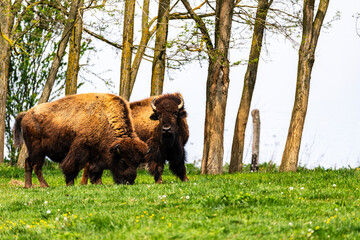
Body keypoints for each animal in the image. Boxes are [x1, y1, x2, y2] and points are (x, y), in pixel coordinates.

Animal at [12, 92, 148, 188]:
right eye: (123, 162)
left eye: (137, 163)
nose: (129, 181)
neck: (104, 118)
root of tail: (26, 114)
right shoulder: (80, 149)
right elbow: (74, 166)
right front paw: (71, 183)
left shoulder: (96, 153)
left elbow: (94, 169)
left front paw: (98, 183)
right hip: (38, 150)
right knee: (36, 166)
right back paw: (45, 185)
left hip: (34, 151)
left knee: (28, 163)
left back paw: (28, 186)